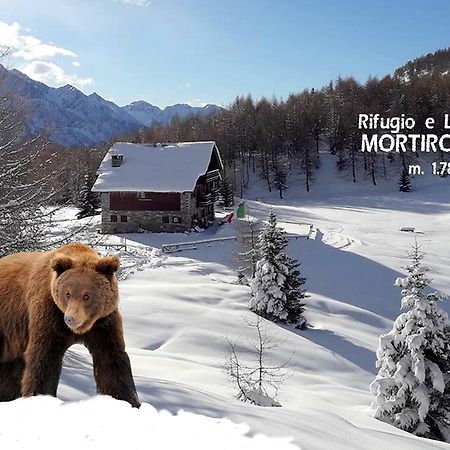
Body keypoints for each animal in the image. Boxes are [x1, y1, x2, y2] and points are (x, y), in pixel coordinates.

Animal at [0, 243, 140, 408]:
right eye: (67, 293)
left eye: (87, 295)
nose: (70, 319)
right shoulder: (49, 314)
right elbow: (45, 357)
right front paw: (40, 396)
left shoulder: (103, 323)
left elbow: (111, 358)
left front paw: (127, 401)